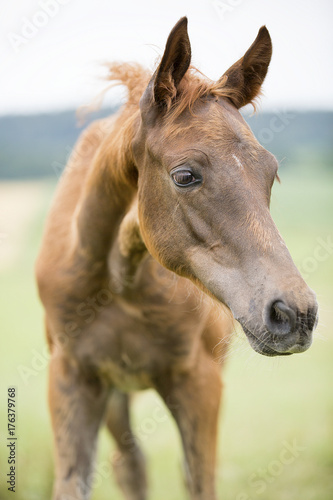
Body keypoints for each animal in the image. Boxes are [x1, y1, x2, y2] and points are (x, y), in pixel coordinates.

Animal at [35, 17, 316, 500]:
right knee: (130, 465)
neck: (120, 280)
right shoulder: (71, 378)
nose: (295, 314)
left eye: (272, 173)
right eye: (185, 175)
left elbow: (199, 480)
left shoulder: (199, 381)